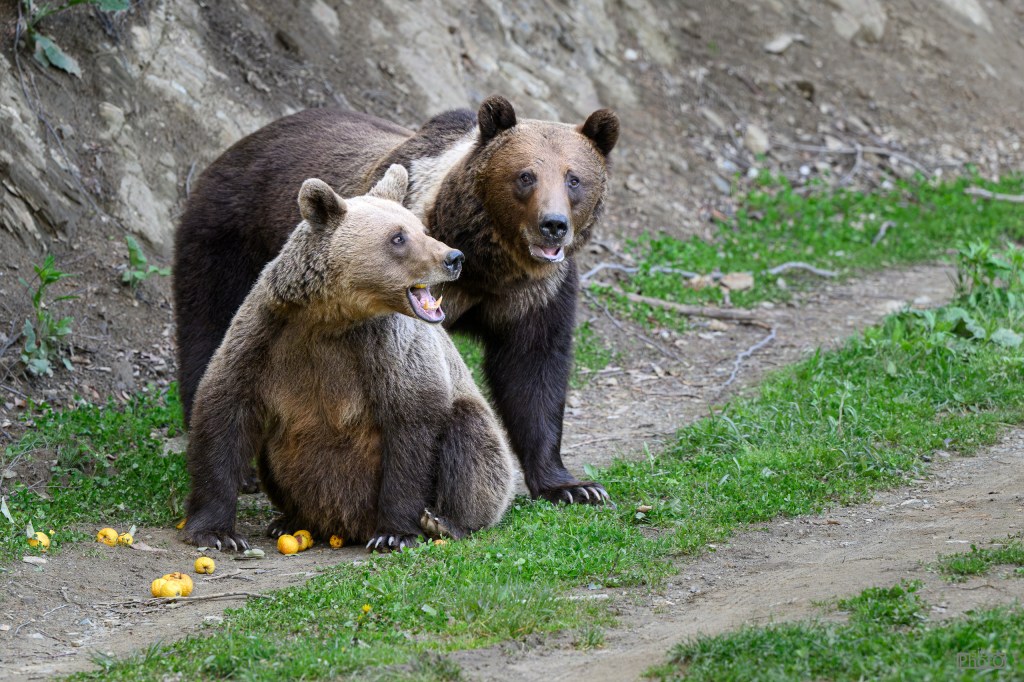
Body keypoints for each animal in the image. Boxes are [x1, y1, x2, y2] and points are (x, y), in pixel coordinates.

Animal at [174, 95, 619, 507]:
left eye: (574, 178)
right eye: (525, 175)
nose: (553, 225)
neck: (489, 265)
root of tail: (243, 143)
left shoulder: (536, 294)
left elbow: (534, 370)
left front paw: (574, 486)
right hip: (227, 237)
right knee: (211, 328)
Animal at [181, 165, 516, 551]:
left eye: (422, 230)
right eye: (398, 237)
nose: (454, 258)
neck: (330, 317)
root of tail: (344, 526)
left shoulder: (388, 351)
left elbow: (412, 427)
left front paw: (394, 533)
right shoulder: (268, 335)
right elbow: (224, 409)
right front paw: (218, 532)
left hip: (482, 446)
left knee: (472, 438)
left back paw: (444, 521)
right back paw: (288, 520)